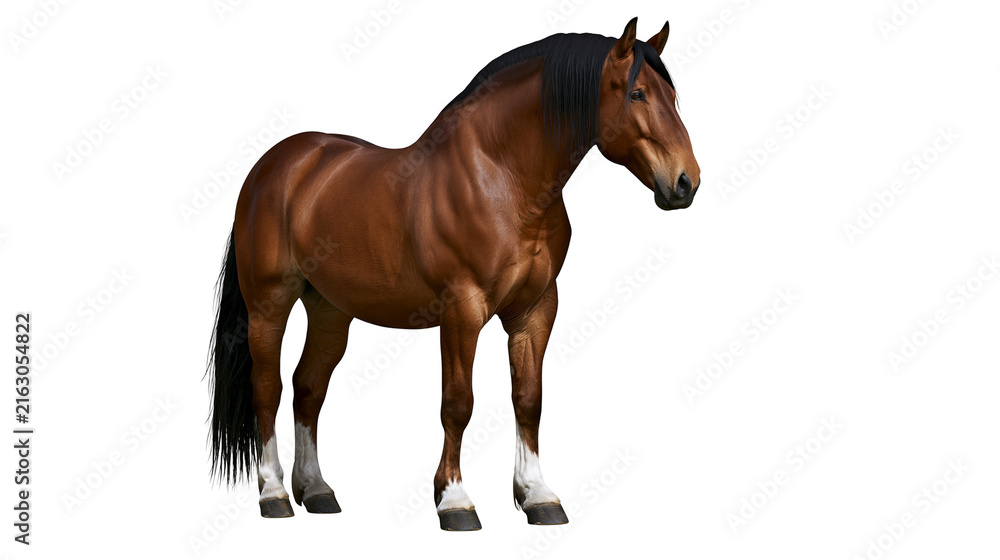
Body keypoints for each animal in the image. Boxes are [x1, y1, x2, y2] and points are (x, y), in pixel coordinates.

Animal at [207, 16, 700, 531]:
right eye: (637, 93)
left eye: (672, 96)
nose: (687, 182)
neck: (503, 177)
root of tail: (273, 167)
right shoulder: (462, 310)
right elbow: (458, 404)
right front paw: (455, 501)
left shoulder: (536, 309)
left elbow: (529, 399)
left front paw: (538, 496)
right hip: (270, 304)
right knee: (268, 388)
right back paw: (275, 493)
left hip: (329, 309)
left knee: (308, 388)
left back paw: (318, 490)